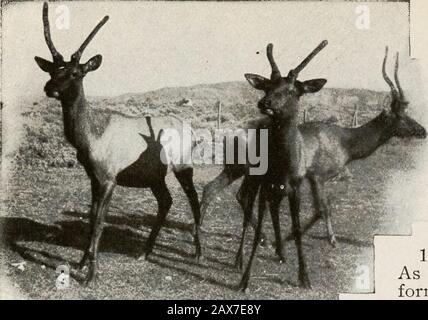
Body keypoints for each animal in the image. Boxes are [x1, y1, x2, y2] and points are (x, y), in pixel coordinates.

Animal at [33, 1, 202, 284]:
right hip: (154, 176)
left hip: (183, 166)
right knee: (166, 201)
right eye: (54, 69)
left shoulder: (109, 177)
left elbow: (100, 221)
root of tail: (193, 133)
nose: (50, 87)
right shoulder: (93, 176)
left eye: (76, 72)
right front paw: (81, 263)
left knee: (193, 199)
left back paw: (198, 253)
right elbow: (91, 217)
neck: (90, 138)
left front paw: (91, 274)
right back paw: (145, 251)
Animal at [239, 43, 426, 292]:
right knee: (247, 199)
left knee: (266, 204)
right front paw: (329, 240)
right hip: (255, 175)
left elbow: (322, 208)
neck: (346, 144)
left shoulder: (308, 179)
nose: (422, 130)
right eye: (403, 117)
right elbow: (322, 209)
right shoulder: (318, 175)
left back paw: (274, 249)